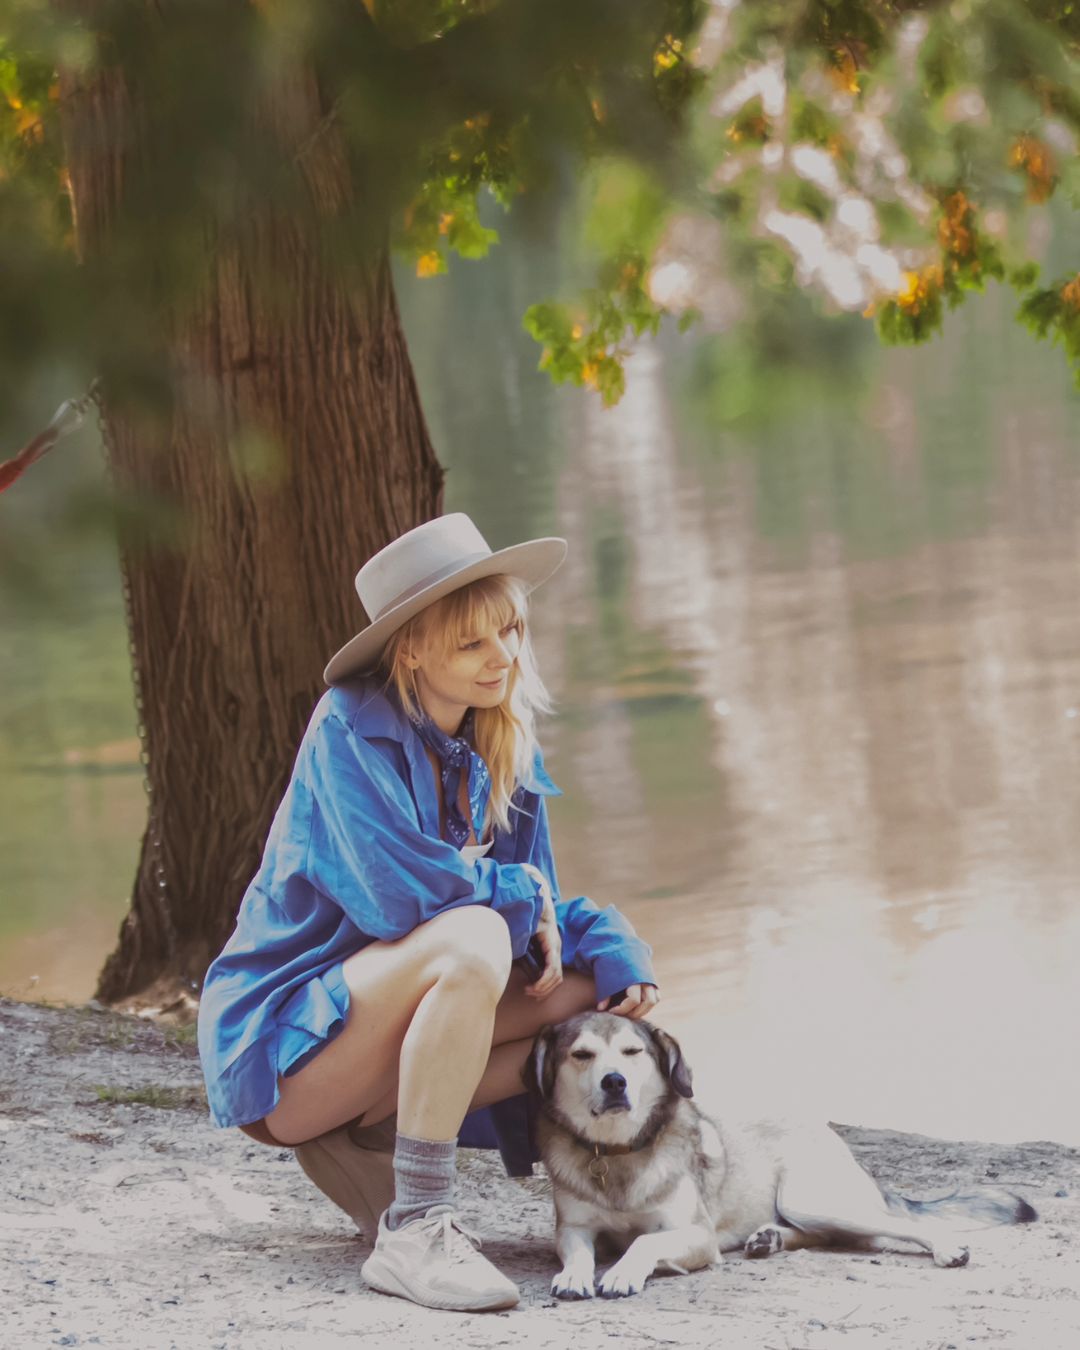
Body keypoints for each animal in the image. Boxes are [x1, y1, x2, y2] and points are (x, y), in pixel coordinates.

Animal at [523, 1015, 1036, 1296]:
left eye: (633, 1051)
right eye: (582, 1055)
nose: (615, 1082)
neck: (616, 1151)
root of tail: (829, 1133)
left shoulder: (696, 1235)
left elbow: (644, 1242)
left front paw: (622, 1273)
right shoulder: (574, 1230)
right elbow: (578, 1253)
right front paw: (574, 1277)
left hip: (809, 1199)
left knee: (892, 1226)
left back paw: (947, 1248)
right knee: (830, 1237)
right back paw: (769, 1239)